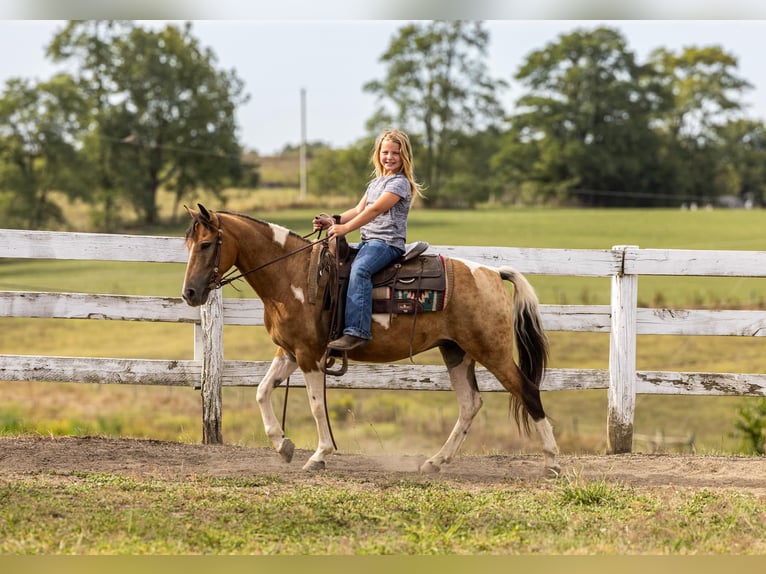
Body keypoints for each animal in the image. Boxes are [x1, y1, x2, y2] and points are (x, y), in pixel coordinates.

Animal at [181, 204, 560, 476]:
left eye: (206, 244)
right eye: (188, 244)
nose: (189, 293)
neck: (293, 276)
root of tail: (493, 273)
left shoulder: (309, 355)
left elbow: (317, 405)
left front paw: (319, 455)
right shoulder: (289, 351)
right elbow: (262, 391)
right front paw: (282, 445)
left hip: (491, 350)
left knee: (527, 390)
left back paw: (553, 462)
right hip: (456, 351)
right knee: (470, 404)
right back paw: (435, 462)